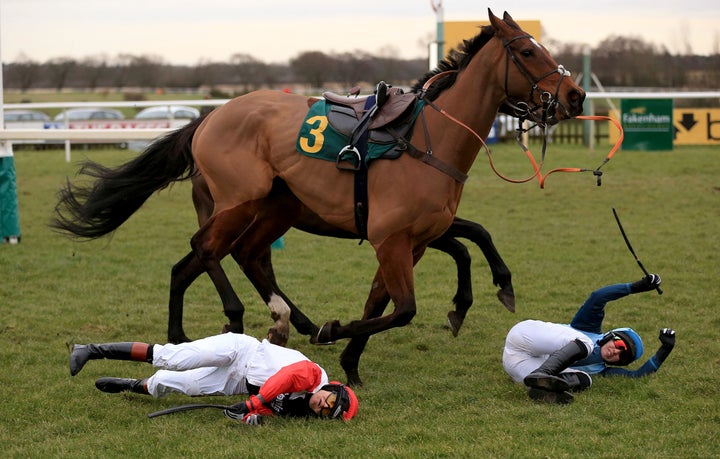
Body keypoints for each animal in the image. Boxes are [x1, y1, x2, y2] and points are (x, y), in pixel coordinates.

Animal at [54, 9, 584, 384]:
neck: (429, 140)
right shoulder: (391, 239)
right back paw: (228, 322)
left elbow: (397, 291)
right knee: (205, 251)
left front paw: (352, 359)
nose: (575, 96)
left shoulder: (409, 239)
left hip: (273, 209)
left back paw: (252, 324)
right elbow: (403, 308)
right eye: (527, 51)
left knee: (237, 256)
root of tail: (208, 117)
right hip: (239, 203)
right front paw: (336, 332)